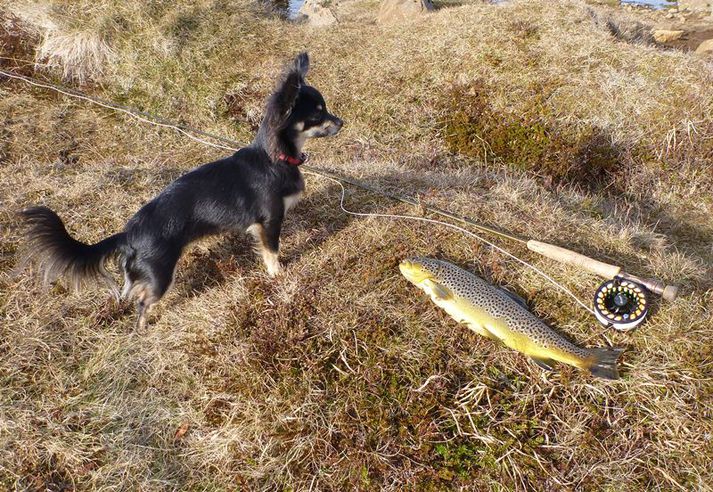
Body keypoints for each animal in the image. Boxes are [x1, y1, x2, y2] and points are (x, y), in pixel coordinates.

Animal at [20, 52, 344, 326]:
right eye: (318, 114)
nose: (341, 122)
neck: (275, 157)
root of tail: (129, 234)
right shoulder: (269, 221)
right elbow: (272, 252)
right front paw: (279, 276)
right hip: (161, 275)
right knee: (142, 302)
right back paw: (143, 328)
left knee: (131, 292)